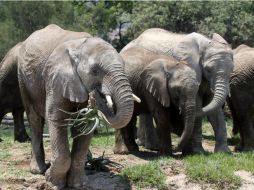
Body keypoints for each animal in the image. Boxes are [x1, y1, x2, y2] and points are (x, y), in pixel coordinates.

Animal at [17, 24, 135, 189]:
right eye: (95, 71)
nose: (96, 96)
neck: (80, 46)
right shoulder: (55, 78)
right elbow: (56, 119)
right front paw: (52, 182)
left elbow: (85, 126)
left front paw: (78, 184)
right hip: (23, 78)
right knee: (35, 121)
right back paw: (37, 170)